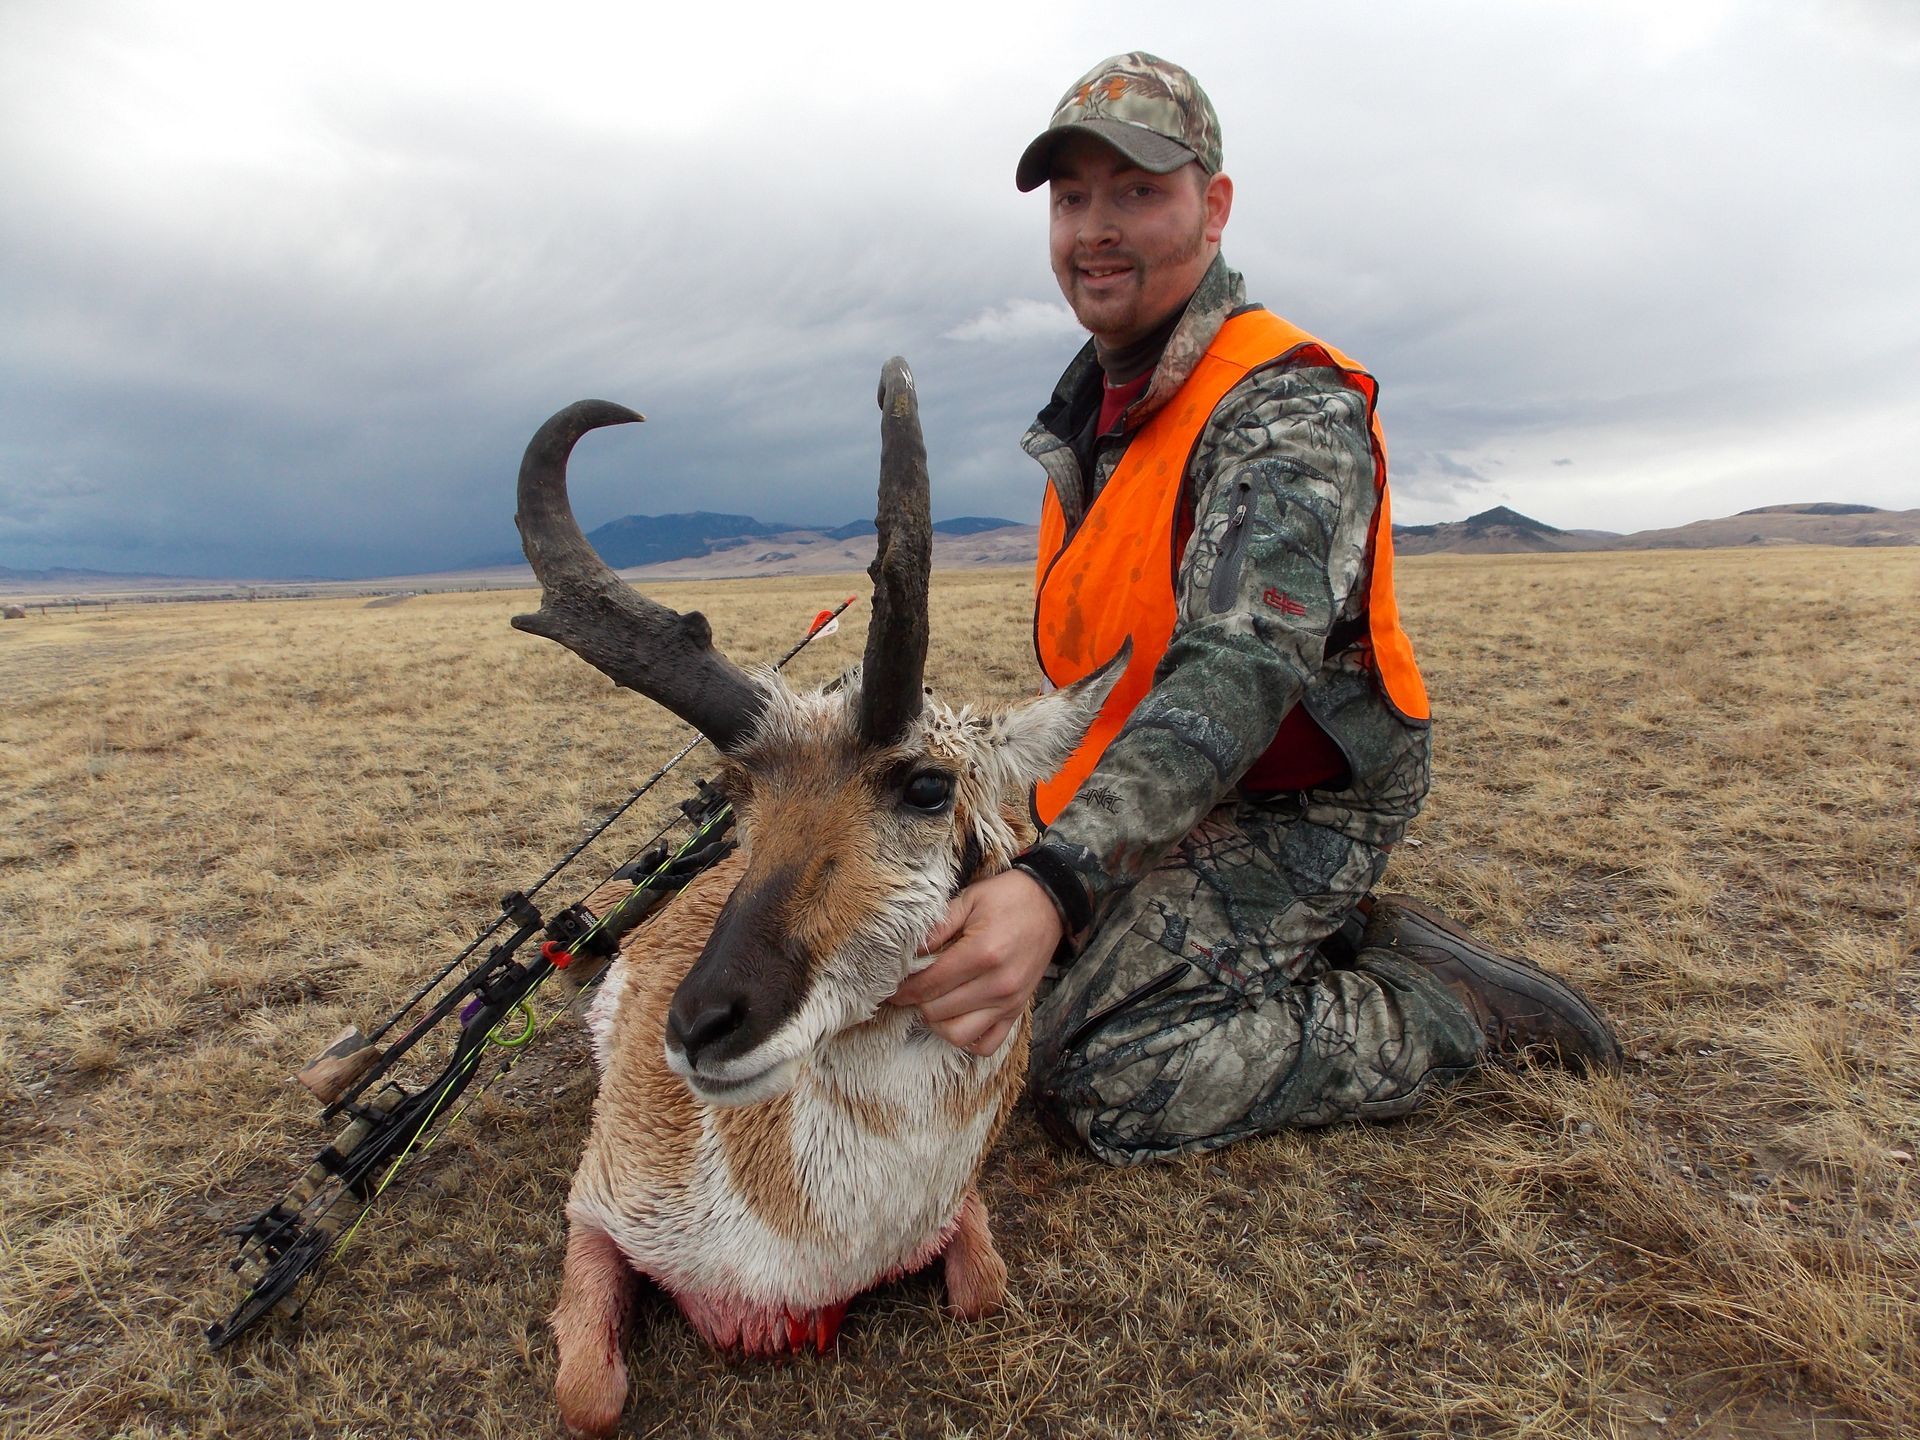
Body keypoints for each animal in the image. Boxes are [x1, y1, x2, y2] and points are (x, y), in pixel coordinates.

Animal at [514, 360, 1124, 1439]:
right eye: (739, 790)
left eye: (926, 785)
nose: (700, 1028)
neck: (802, 1257)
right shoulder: (592, 1208)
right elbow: (588, 1395)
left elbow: (985, 1287)